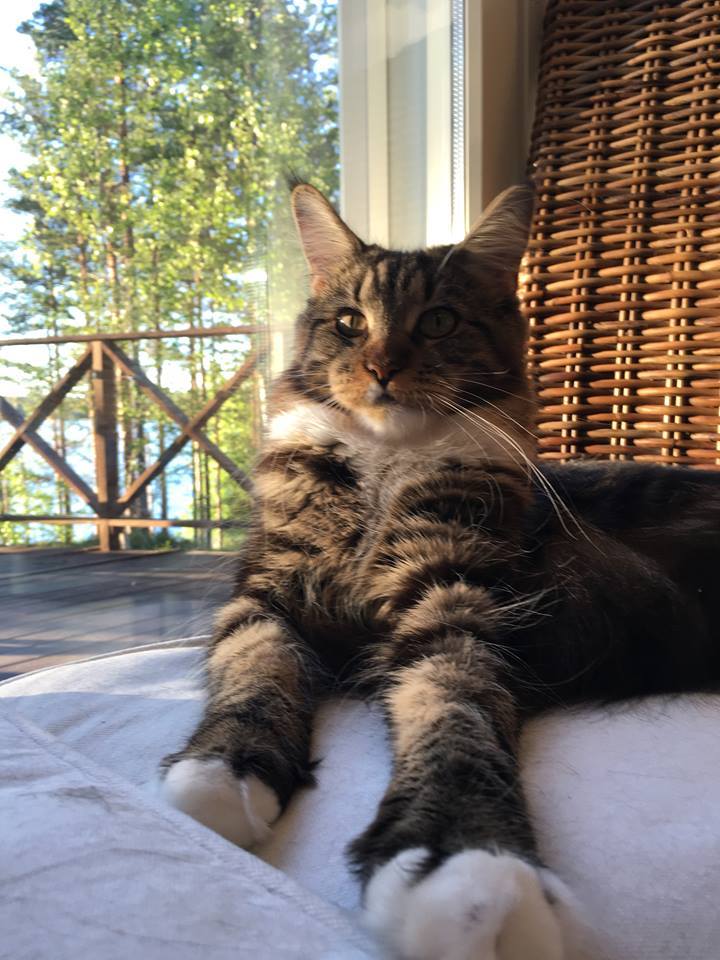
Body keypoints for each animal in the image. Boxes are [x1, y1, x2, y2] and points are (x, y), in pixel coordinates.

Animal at [160, 181, 720, 959]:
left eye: (439, 320)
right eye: (349, 322)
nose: (381, 367)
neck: (382, 471)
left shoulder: (453, 599)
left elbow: (453, 713)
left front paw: (464, 865)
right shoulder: (267, 595)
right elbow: (255, 671)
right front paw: (224, 767)